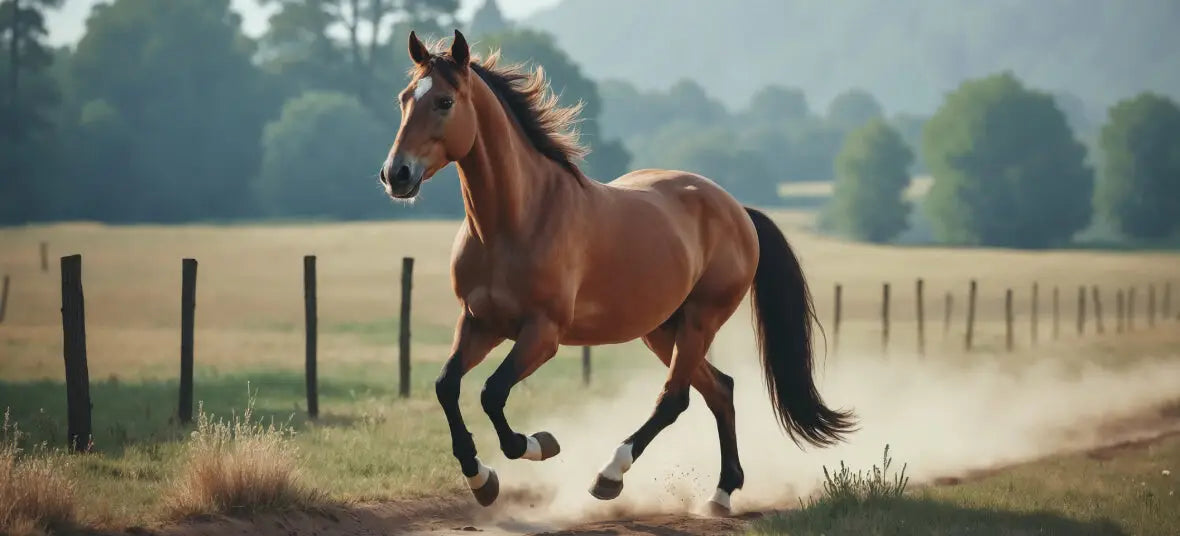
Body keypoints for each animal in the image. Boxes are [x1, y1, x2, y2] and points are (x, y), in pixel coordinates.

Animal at [375, 29, 856, 516]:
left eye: (444, 102)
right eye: (403, 99)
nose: (396, 175)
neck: (515, 221)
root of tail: (737, 210)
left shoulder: (542, 334)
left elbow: (492, 393)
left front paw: (539, 444)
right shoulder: (479, 323)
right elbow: (447, 387)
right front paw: (481, 479)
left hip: (700, 321)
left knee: (675, 399)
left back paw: (609, 476)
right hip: (662, 330)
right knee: (720, 389)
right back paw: (721, 493)